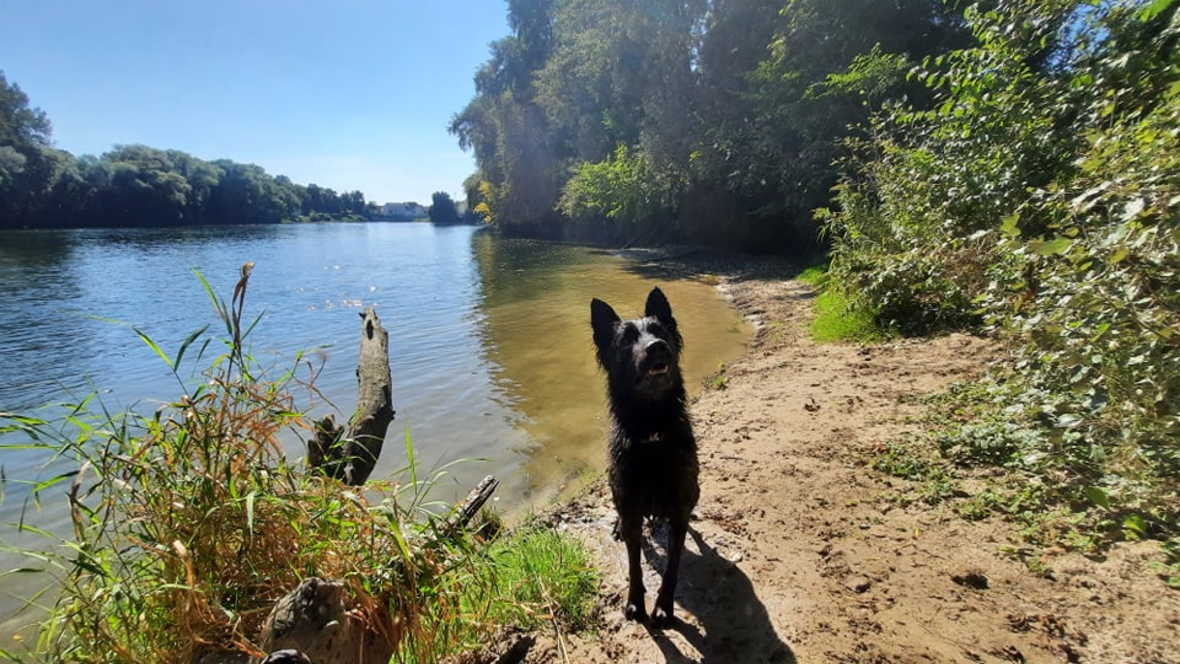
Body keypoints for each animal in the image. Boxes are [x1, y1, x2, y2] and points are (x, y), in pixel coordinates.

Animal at [590, 288, 698, 627]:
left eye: (660, 331)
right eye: (625, 340)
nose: (657, 346)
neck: (652, 435)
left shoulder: (678, 514)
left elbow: (672, 567)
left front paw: (663, 606)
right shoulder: (631, 511)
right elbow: (635, 564)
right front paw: (636, 602)